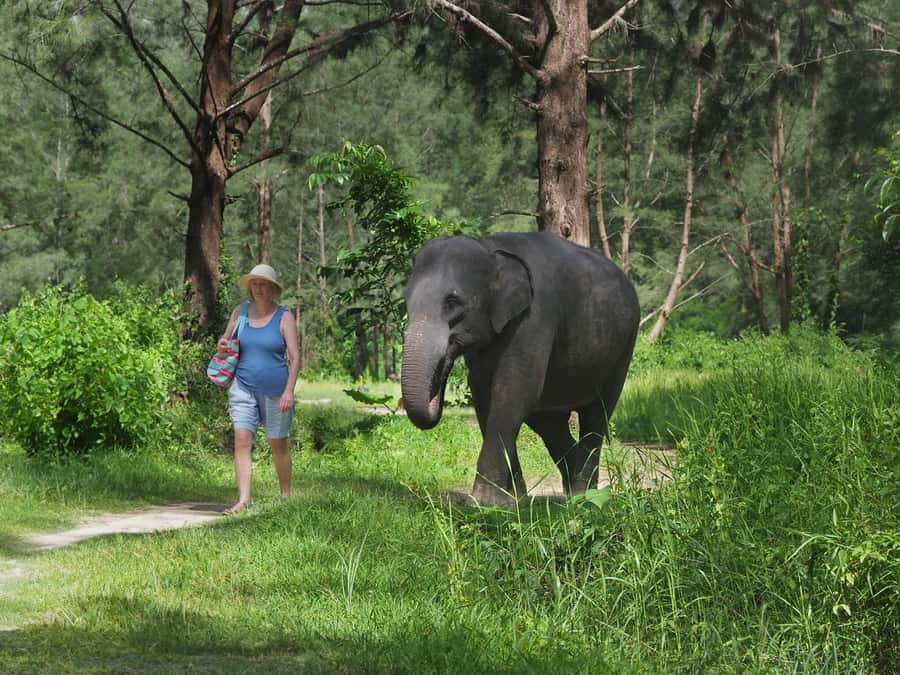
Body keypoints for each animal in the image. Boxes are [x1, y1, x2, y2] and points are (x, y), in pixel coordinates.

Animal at [401, 231, 640, 505]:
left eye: (452, 302)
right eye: (406, 301)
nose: (442, 368)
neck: (490, 248)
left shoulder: (534, 318)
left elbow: (513, 392)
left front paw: (483, 502)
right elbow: (484, 396)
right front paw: (513, 501)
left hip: (622, 350)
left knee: (596, 416)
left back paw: (582, 497)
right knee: (549, 423)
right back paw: (572, 486)